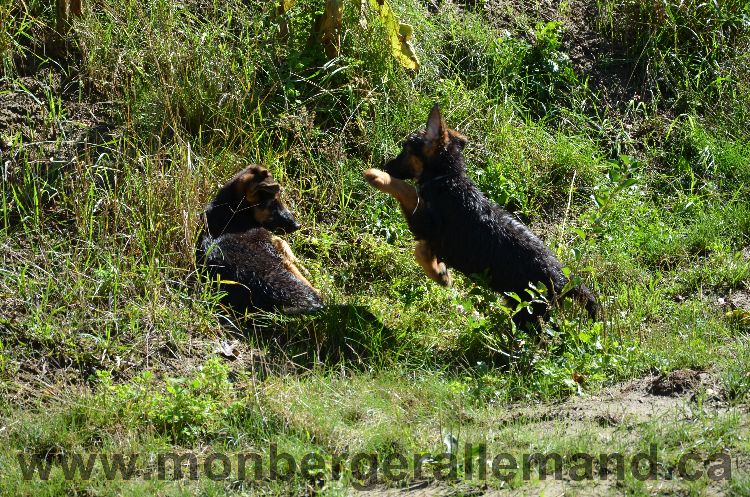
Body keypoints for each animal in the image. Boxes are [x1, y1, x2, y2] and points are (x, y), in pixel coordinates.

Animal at [197, 166, 324, 314]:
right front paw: (306, 269)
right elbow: (284, 246)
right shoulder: (273, 246)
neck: (234, 210)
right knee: (317, 291)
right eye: (274, 203)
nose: (298, 225)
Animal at [364, 104, 600, 326]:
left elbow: (407, 191)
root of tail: (564, 280)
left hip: (529, 314)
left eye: (406, 149)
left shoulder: (426, 221)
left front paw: (377, 176)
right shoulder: (431, 236)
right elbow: (421, 251)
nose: (386, 165)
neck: (447, 178)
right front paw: (441, 274)